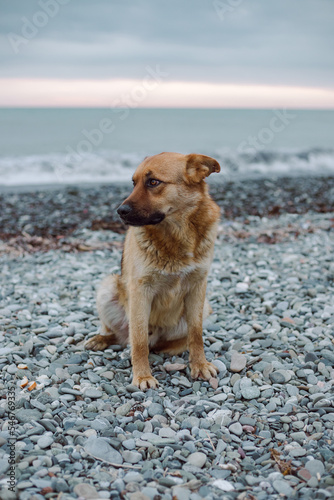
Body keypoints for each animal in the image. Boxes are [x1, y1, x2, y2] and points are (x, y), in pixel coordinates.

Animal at [85, 152, 222, 390]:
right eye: (134, 183)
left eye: (153, 182)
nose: (120, 211)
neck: (177, 233)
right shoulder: (141, 292)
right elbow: (138, 341)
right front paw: (142, 376)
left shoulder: (197, 287)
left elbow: (196, 334)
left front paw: (199, 364)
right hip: (108, 288)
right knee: (123, 336)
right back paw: (101, 339)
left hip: (203, 307)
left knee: (164, 342)